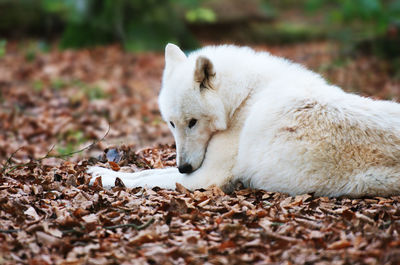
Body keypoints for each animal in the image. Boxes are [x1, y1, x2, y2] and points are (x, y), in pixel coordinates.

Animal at [88, 43, 400, 196]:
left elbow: (147, 178)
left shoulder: (208, 176)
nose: (184, 167)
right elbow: (145, 173)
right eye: (172, 124)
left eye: (193, 122)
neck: (243, 100)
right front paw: (101, 170)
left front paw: (105, 176)